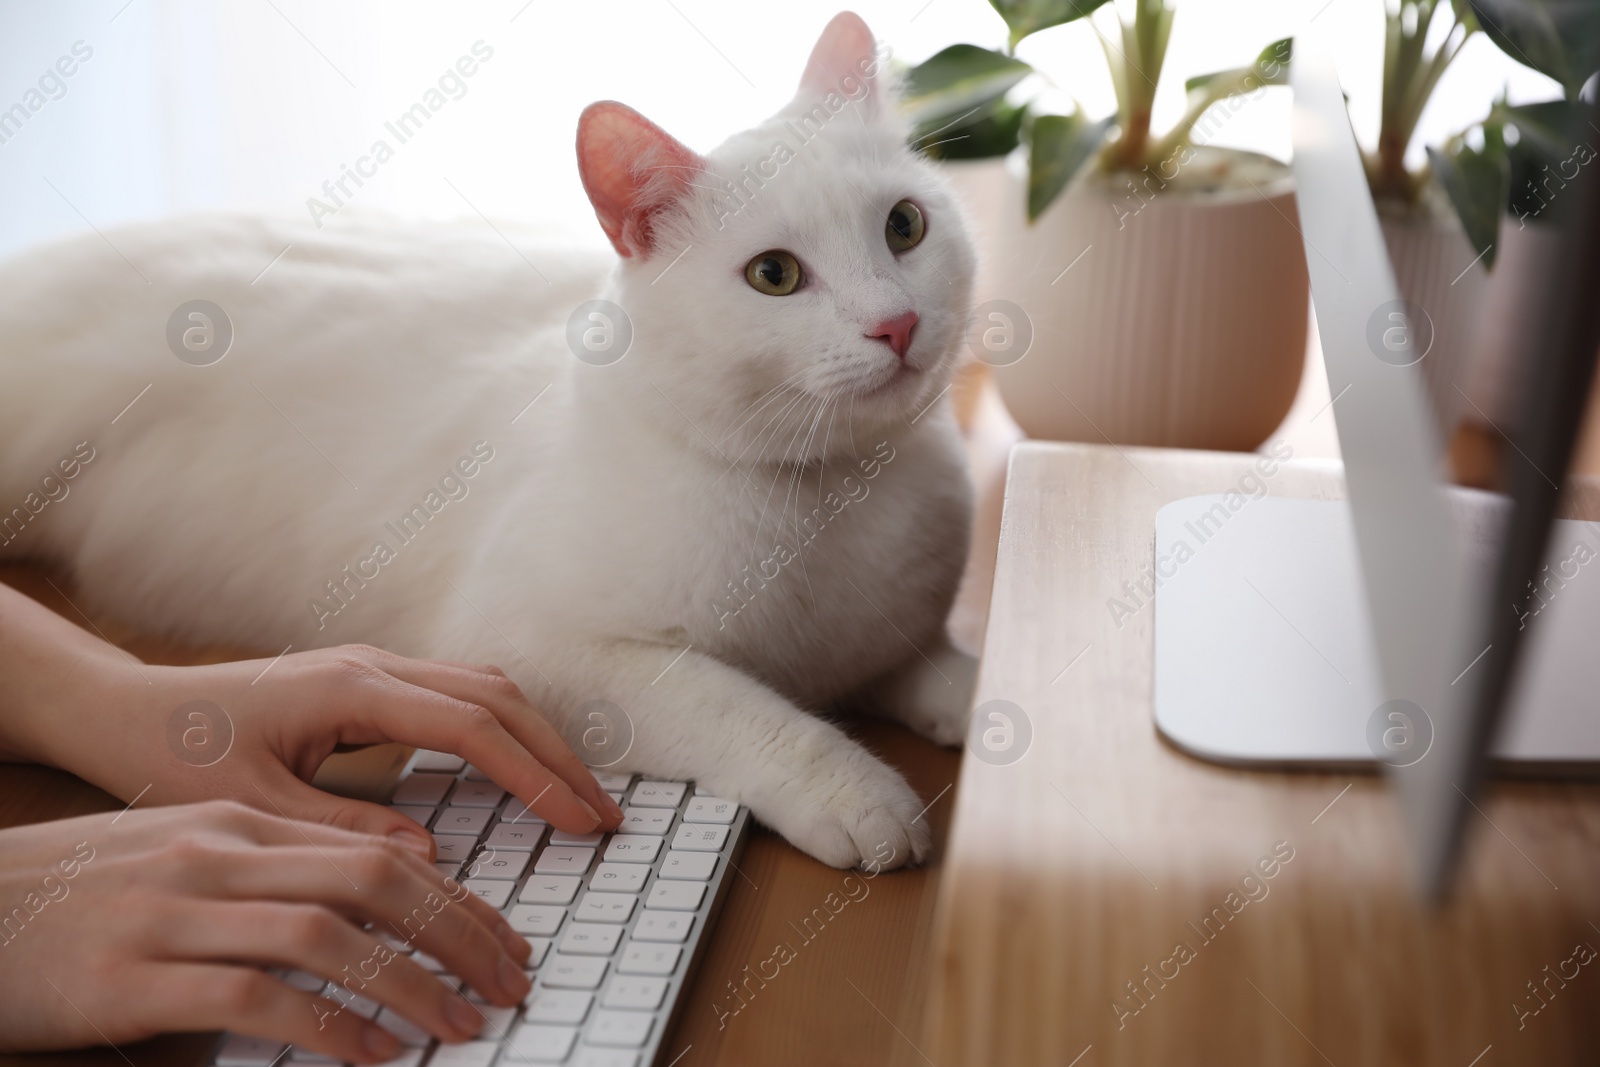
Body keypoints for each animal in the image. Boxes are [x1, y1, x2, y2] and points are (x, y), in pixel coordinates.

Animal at [0, 12, 972, 870]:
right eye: (774, 275)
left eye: (904, 226)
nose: (896, 324)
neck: (838, 491)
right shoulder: (532, 653)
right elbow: (742, 707)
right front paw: (859, 793)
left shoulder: (873, 636)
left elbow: (915, 662)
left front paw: (968, 696)